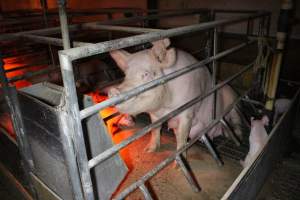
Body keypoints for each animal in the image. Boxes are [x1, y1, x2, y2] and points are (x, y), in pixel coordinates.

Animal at [108, 38, 241, 152]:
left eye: (146, 74)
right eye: (126, 75)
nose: (113, 91)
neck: (165, 106)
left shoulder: (187, 112)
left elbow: (182, 139)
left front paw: (177, 163)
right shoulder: (155, 114)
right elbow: (155, 130)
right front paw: (148, 150)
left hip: (233, 101)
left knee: (236, 119)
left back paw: (237, 136)